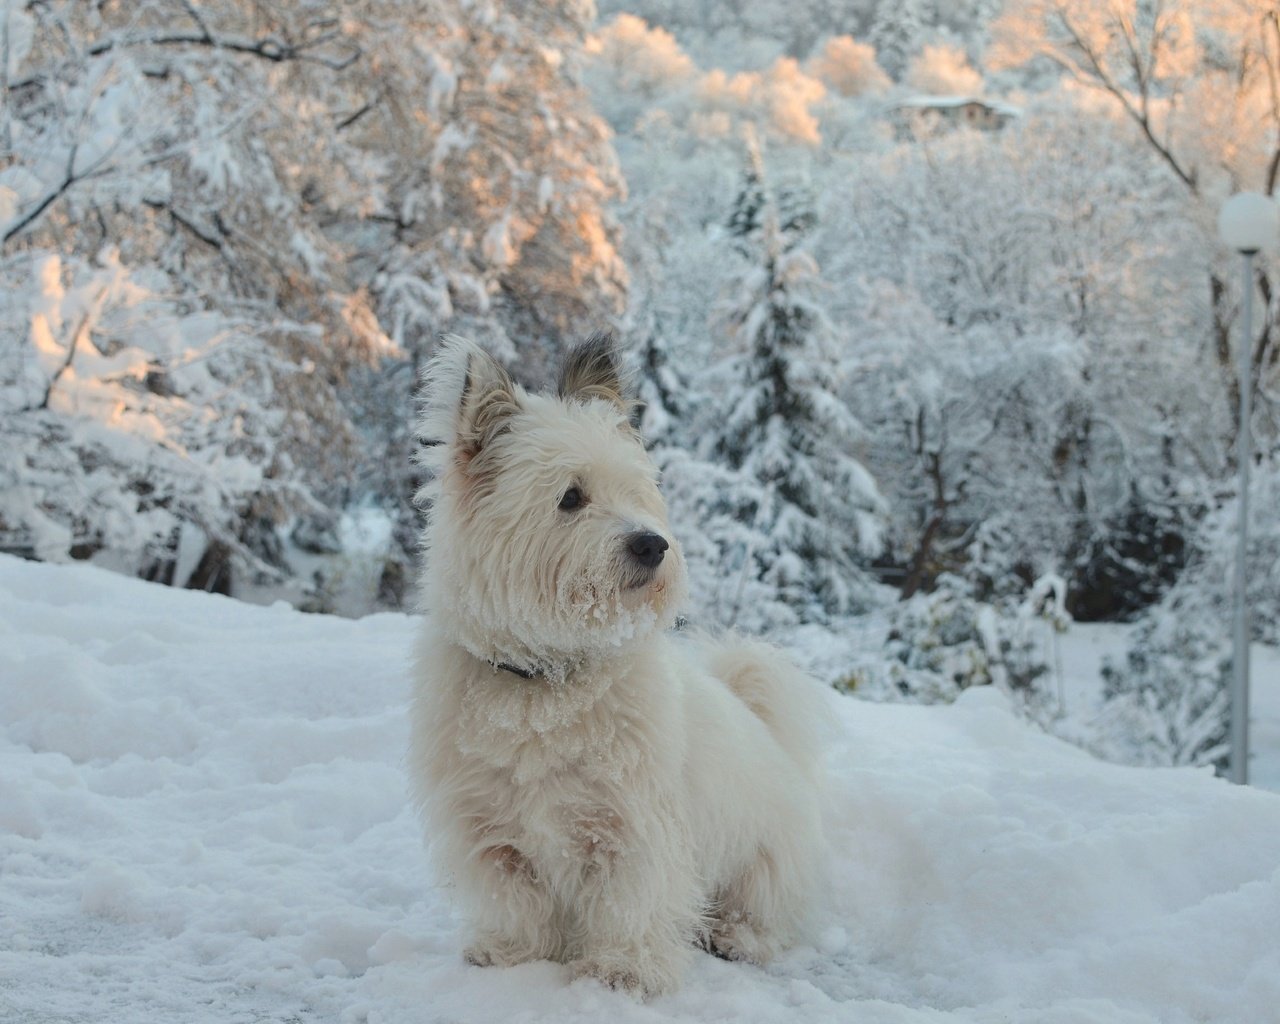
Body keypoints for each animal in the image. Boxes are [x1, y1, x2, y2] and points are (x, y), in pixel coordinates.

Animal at [412, 335, 829, 998]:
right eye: (571, 497)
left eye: (636, 492)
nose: (653, 545)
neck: (547, 679)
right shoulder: (489, 831)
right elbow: (515, 902)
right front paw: (511, 956)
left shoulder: (634, 827)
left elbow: (629, 904)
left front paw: (621, 973)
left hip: (763, 864)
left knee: (768, 917)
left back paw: (737, 937)